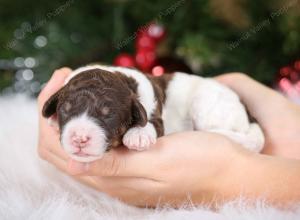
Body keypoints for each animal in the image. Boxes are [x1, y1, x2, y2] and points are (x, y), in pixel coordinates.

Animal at [42, 64, 264, 162]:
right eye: (65, 110)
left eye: (108, 115)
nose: (79, 138)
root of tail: (248, 113)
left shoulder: (156, 115)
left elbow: (150, 123)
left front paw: (138, 135)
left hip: (208, 104)